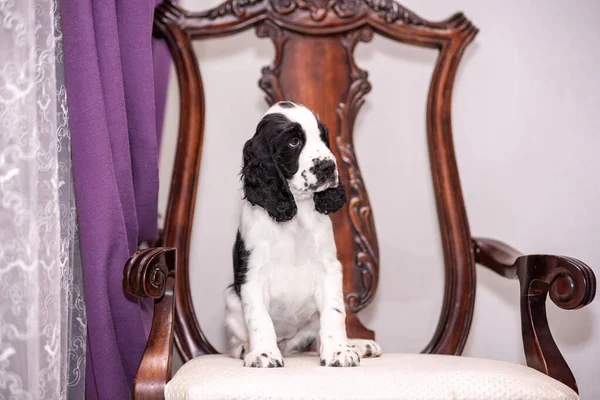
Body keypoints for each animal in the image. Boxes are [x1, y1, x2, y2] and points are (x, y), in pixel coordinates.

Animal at [223, 101, 382, 368]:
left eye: (323, 137)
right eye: (294, 142)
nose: (329, 167)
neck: (296, 213)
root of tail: (287, 345)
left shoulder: (329, 267)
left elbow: (334, 312)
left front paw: (339, 351)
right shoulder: (253, 272)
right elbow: (258, 317)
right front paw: (263, 353)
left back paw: (357, 344)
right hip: (231, 300)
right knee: (235, 341)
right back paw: (245, 348)